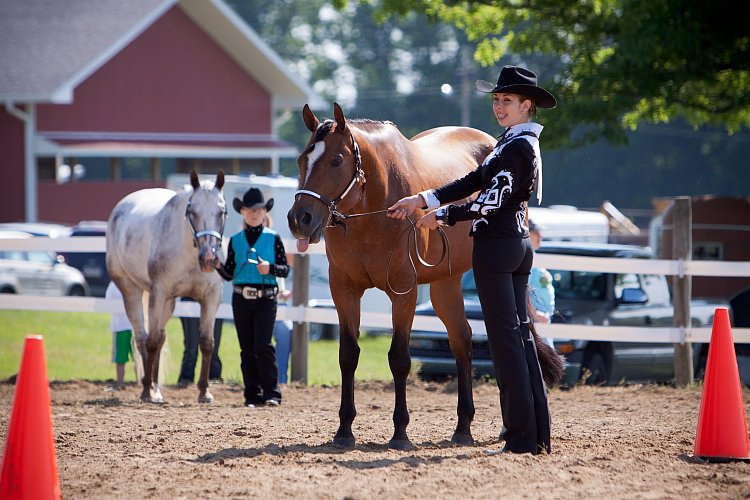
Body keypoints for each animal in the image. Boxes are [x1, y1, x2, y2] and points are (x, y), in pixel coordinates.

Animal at [107, 170, 226, 404]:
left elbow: (207, 343)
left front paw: (204, 392)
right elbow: (151, 342)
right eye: (192, 211)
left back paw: (156, 388)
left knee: (160, 338)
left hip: (169, 303)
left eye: (222, 211)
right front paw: (145, 392)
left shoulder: (211, 298)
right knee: (143, 338)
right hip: (131, 291)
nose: (209, 258)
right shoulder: (158, 294)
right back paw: (149, 389)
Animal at [288, 103, 564, 452]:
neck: (374, 208)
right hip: (445, 284)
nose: (299, 219)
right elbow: (348, 355)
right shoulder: (344, 291)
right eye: (302, 159)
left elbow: (399, 358)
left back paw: (505, 430)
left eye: (336, 161)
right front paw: (344, 431)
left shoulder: (403, 293)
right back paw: (463, 427)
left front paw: (400, 433)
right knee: (462, 341)